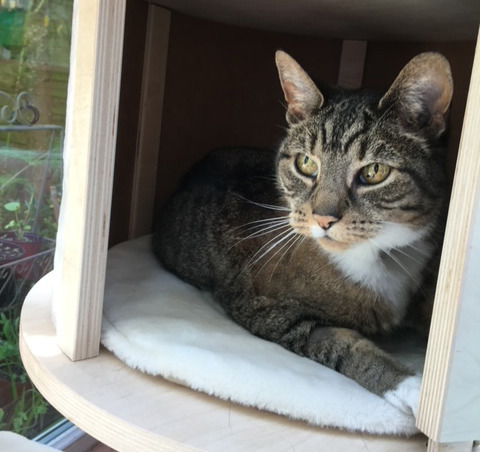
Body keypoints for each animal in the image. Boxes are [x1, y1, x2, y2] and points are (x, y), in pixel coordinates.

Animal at [154, 51, 454, 418]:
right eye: (306, 164)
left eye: (374, 171)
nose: (323, 218)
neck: (382, 254)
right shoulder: (271, 312)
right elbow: (348, 345)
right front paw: (413, 388)